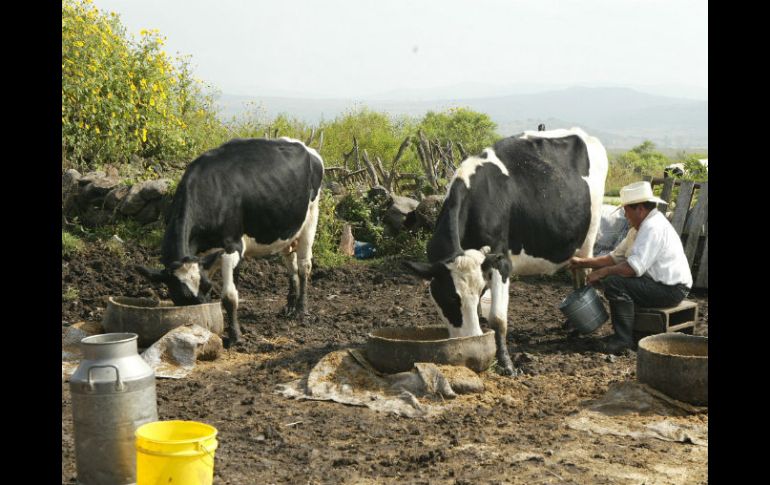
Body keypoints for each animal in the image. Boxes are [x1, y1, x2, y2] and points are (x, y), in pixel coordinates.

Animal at [136, 137, 322, 344]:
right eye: (181, 296)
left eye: (207, 287)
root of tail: (304, 146)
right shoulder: (207, 256)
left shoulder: (231, 247)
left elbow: (229, 296)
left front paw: (235, 336)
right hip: (288, 227)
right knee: (291, 263)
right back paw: (289, 306)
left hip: (311, 218)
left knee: (304, 266)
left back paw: (301, 310)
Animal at [402, 127, 608, 374]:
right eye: (451, 298)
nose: (471, 339)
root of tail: (580, 132)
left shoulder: (501, 262)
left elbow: (497, 319)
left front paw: (506, 364)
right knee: (575, 272)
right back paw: (570, 323)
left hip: (589, 236)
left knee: (583, 273)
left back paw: (576, 329)